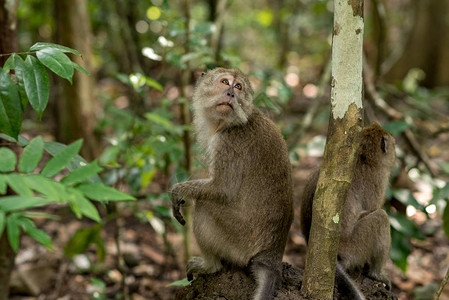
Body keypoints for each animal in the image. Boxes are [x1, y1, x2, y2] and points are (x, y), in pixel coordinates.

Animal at [170, 68, 292, 300]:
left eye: (238, 87)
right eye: (225, 82)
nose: (231, 94)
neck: (230, 123)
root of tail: (271, 255)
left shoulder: (228, 143)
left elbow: (222, 190)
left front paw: (178, 191)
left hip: (239, 243)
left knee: (205, 206)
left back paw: (211, 265)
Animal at [300, 121, 394, 292]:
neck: (364, 157)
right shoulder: (378, 179)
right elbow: (373, 209)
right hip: (356, 246)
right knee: (380, 217)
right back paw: (377, 273)